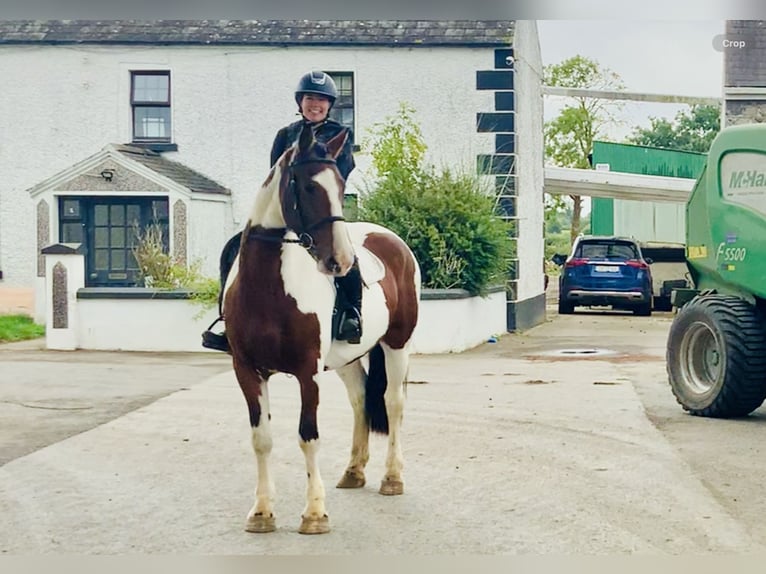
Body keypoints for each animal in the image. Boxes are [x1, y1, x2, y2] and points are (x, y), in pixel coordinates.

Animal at [222, 122, 424, 536]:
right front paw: (261, 512)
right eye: (309, 187)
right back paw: (354, 471)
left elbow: (308, 436)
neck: (268, 289)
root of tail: (393, 240)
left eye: (340, 185)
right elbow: (261, 438)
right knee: (361, 398)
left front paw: (315, 513)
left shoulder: (307, 371)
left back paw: (392, 477)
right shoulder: (246, 370)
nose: (341, 261)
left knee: (393, 402)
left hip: (398, 344)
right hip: (347, 358)